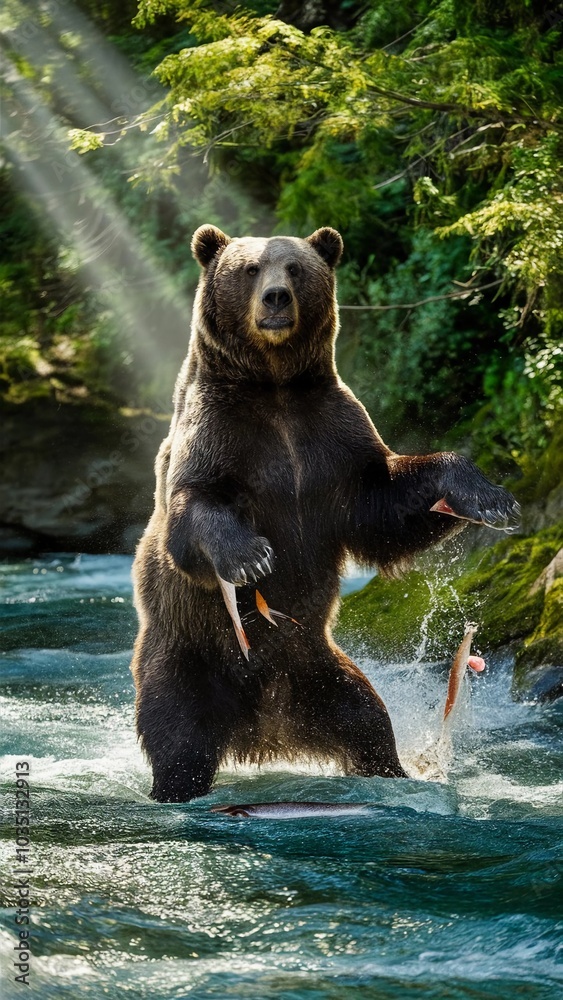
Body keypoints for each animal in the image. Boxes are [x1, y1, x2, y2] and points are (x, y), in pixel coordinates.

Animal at [131, 224, 519, 803]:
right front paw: (250, 557)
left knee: (366, 722)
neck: (275, 386)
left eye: (294, 268)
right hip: (187, 654)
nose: (275, 299)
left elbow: (383, 505)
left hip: (319, 670)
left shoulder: (331, 436)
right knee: (177, 737)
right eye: (250, 268)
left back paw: (394, 771)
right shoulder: (218, 431)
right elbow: (192, 511)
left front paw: (492, 499)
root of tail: (262, 728)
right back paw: (173, 787)